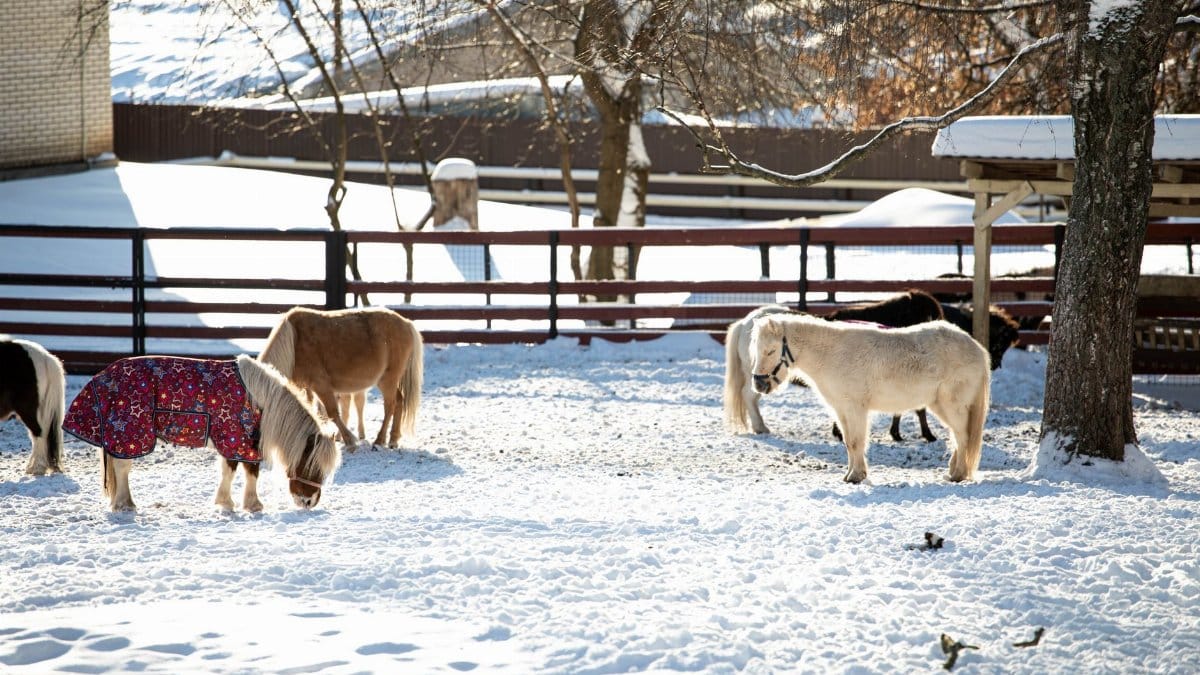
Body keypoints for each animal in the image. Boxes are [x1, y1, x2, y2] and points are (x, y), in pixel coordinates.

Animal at [63, 355, 341, 512]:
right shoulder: (237, 439)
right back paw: (124, 505)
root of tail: (100, 376)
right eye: (312, 465)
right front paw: (242, 505)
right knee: (123, 468)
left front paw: (236, 503)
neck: (259, 400)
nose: (309, 503)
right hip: (131, 435)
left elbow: (240, 470)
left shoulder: (242, 440)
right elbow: (240, 470)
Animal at [260, 306, 423, 448]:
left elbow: (332, 413)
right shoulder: (305, 387)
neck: (294, 342)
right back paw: (393, 439)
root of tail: (407, 323)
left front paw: (349, 439)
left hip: (388, 380)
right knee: (399, 401)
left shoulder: (321, 385)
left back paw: (380, 439)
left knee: (390, 405)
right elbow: (312, 409)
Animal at [748, 313, 990, 483]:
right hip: (940, 405)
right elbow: (848, 442)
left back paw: (958, 474)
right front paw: (851, 475)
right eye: (756, 350)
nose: (759, 384)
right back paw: (953, 471)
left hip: (952, 405)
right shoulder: (842, 411)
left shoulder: (855, 409)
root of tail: (976, 348)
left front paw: (856, 477)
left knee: (962, 435)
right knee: (958, 436)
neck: (831, 355)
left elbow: (856, 441)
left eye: (771, 350)